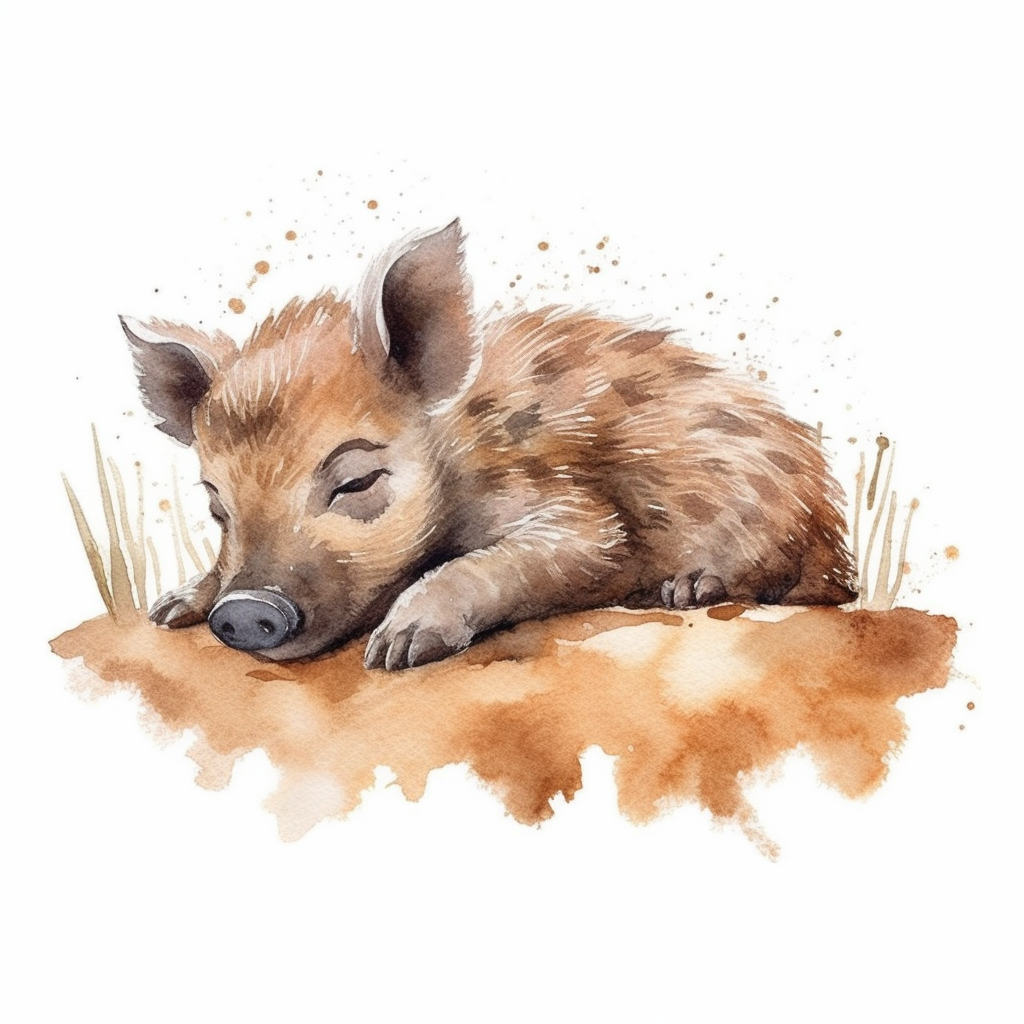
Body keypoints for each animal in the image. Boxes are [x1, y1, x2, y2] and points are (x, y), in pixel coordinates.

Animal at [122, 219, 857, 670]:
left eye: (356, 481)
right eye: (217, 505)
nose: (244, 613)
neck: (461, 451)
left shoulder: (580, 513)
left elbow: (547, 550)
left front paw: (397, 650)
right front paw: (169, 607)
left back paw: (687, 590)